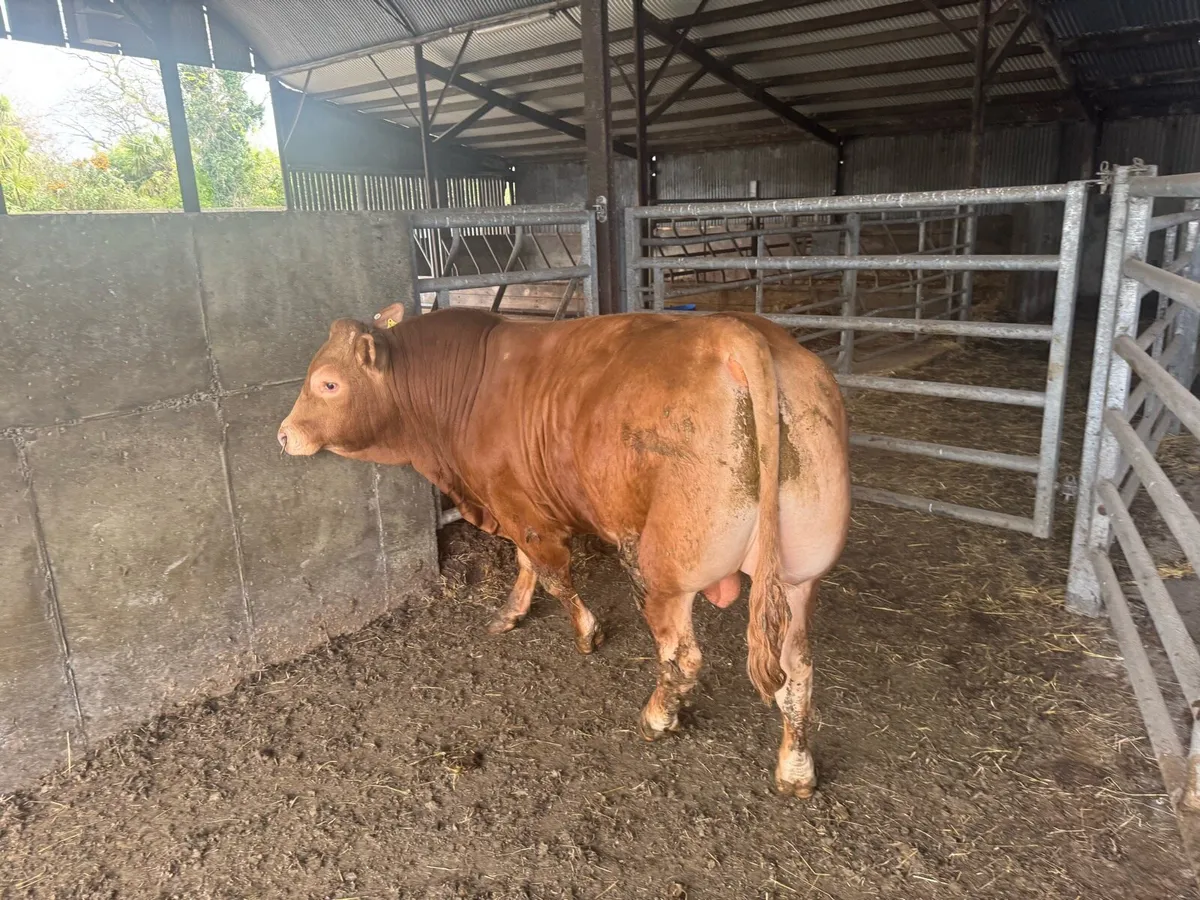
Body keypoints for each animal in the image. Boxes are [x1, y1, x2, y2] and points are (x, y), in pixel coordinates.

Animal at [278, 304, 851, 798]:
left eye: (328, 382)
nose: (284, 435)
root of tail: (736, 331)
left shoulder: (521, 508)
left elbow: (552, 573)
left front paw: (586, 633)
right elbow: (528, 567)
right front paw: (511, 612)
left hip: (664, 568)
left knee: (683, 656)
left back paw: (657, 717)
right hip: (799, 575)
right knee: (797, 670)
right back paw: (796, 769)